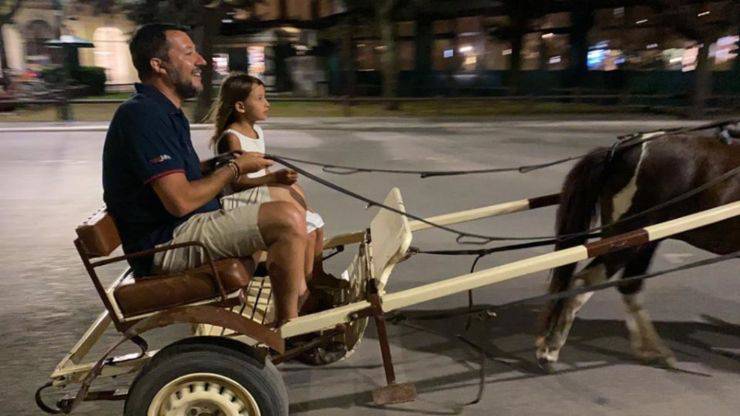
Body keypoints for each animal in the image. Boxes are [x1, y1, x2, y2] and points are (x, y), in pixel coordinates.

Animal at [536, 130, 736, 370]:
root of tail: (619, 151)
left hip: (644, 240)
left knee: (629, 286)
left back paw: (651, 350)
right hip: (625, 240)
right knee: (584, 282)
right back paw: (551, 348)